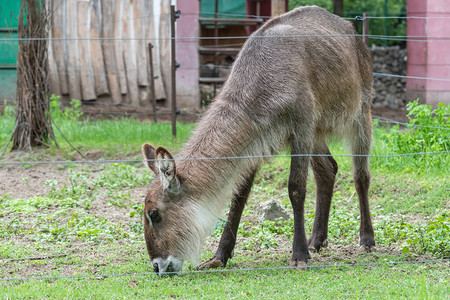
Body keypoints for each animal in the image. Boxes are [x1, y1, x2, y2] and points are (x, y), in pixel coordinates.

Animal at [142, 5, 374, 276]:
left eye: (154, 214)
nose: (158, 266)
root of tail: (349, 28)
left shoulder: (301, 129)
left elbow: (296, 188)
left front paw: (298, 256)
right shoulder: (256, 141)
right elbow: (239, 196)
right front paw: (219, 256)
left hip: (360, 114)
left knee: (361, 176)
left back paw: (366, 239)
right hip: (318, 133)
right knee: (328, 170)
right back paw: (316, 240)